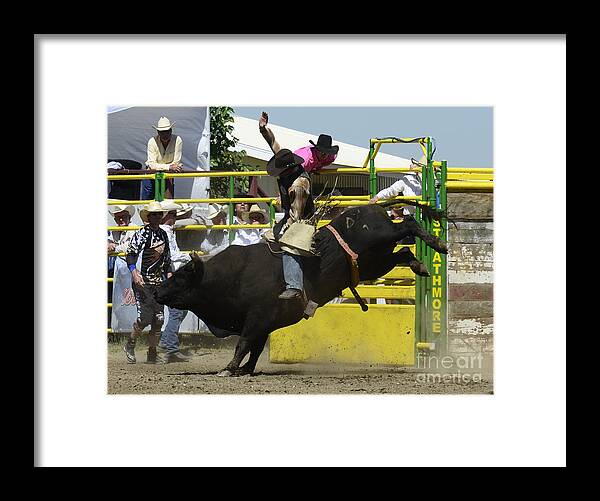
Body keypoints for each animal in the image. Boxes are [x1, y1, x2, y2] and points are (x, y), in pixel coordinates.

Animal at [155, 201, 446, 376]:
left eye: (180, 276)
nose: (157, 291)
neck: (229, 277)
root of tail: (371, 207)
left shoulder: (257, 318)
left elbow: (244, 343)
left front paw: (229, 368)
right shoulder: (264, 323)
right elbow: (255, 348)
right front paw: (246, 369)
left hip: (381, 238)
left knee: (408, 225)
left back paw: (438, 243)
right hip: (375, 263)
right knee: (404, 251)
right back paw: (420, 265)